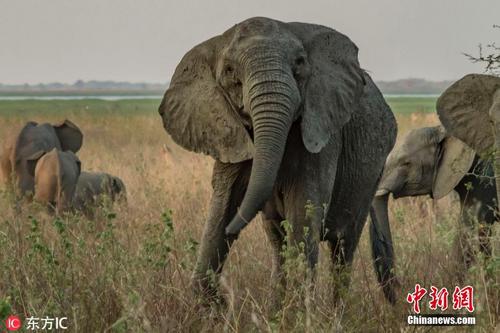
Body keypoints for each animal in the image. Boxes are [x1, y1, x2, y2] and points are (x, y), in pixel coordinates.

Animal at [158, 17, 396, 304]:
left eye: (300, 63)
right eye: (229, 71)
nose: (232, 231)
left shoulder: (321, 129)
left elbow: (303, 207)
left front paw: (298, 310)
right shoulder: (229, 133)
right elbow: (223, 202)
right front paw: (205, 306)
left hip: (372, 172)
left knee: (343, 245)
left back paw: (335, 311)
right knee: (277, 241)